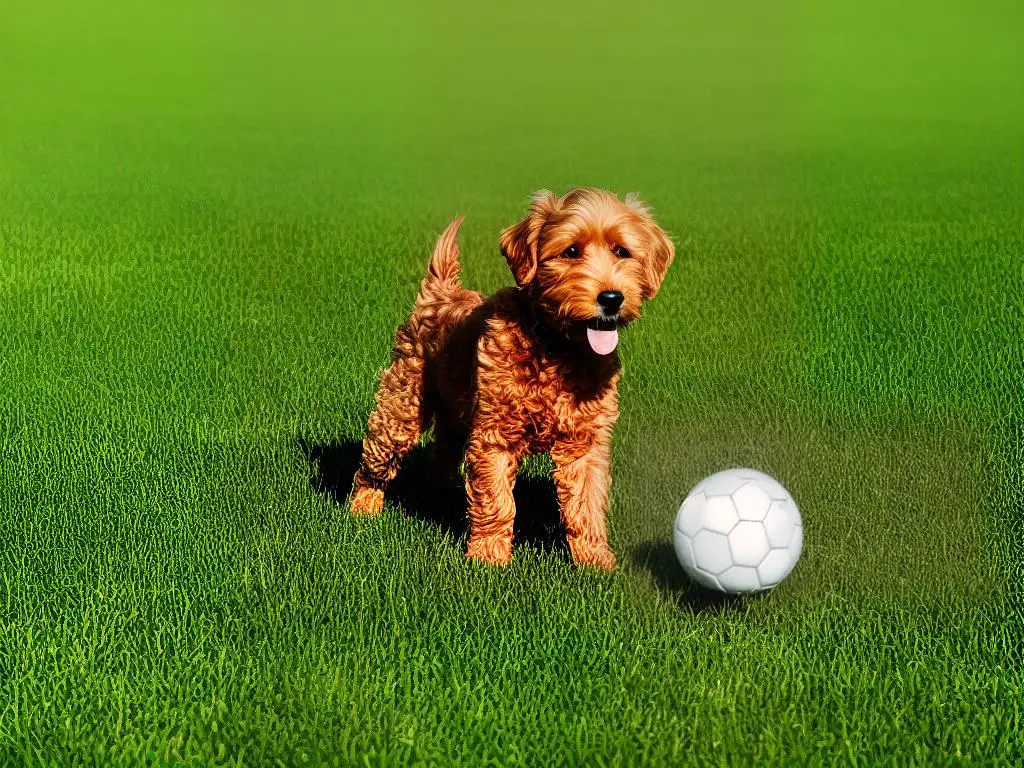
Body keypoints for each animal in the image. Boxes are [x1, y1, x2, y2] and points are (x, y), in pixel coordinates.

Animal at [348, 188, 675, 569]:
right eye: (571, 251)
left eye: (622, 251)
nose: (611, 298)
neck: (556, 348)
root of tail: (440, 292)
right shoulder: (495, 435)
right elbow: (496, 500)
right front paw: (489, 557)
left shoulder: (586, 441)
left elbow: (587, 501)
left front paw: (595, 560)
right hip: (401, 407)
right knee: (376, 458)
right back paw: (363, 507)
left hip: (454, 414)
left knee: (443, 454)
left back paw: (441, 495)